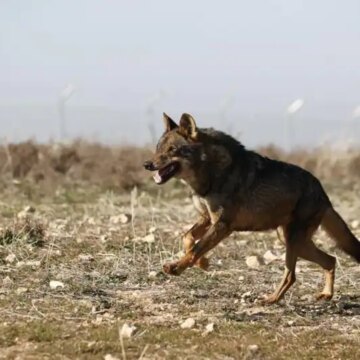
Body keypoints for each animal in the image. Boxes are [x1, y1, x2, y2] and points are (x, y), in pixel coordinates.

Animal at [143, 113, 360, 304]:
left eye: (172, 149)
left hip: (293, 243)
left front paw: (177, 267)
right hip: (293, 241)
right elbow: (188, 239)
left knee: (292, 275)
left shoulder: (222, 224)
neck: (208, 178)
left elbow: (195, 248)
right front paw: (202, 263)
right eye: (158, 148)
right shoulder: (206, 218)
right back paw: (326, 294)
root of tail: (324, 193)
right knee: (331, 260)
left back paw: (271, 299)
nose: (147, 164)